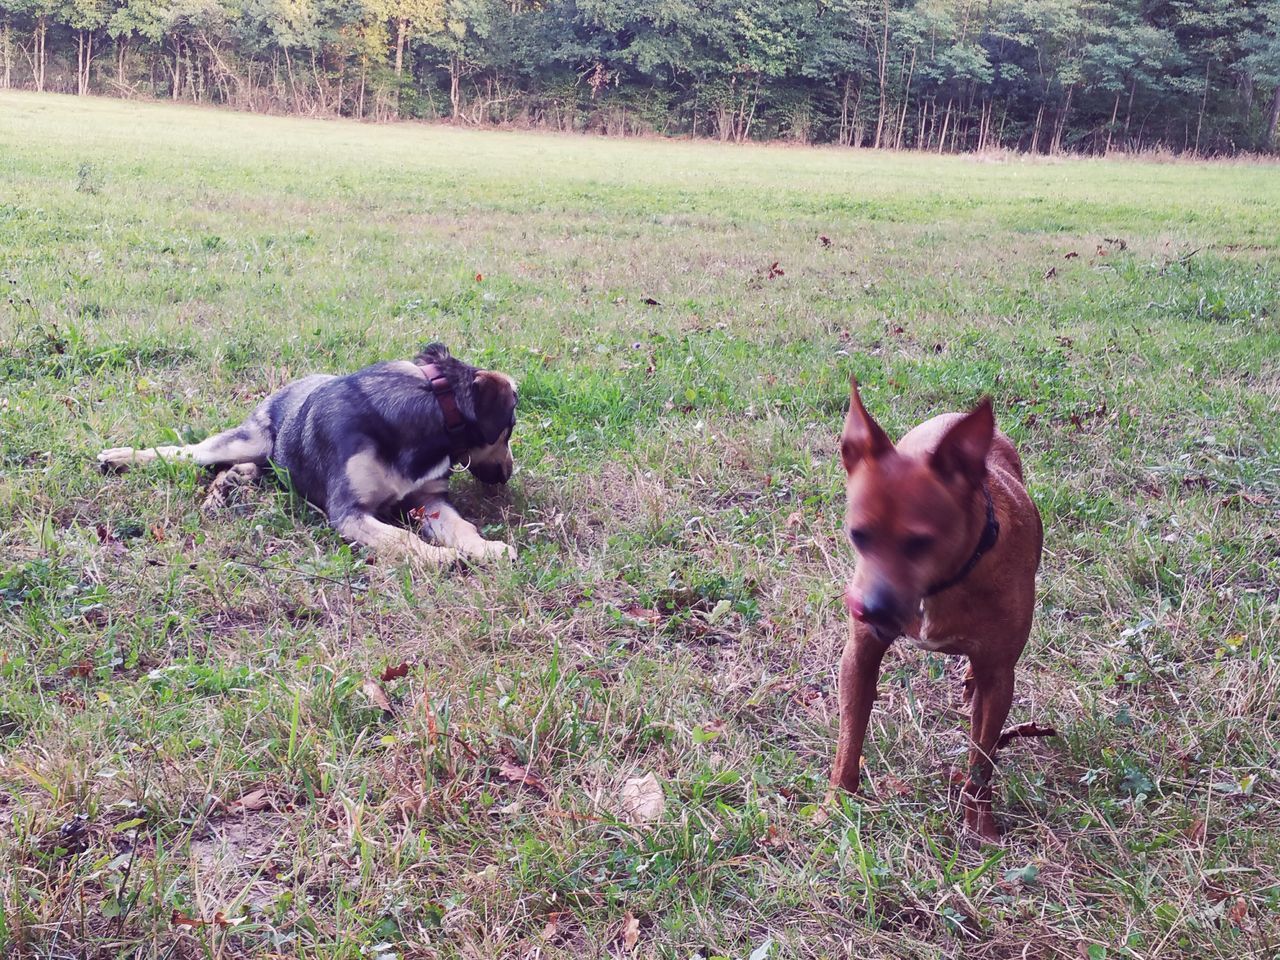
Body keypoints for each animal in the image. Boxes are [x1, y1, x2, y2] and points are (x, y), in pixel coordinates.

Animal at [96, 343, 514, 563]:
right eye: (508, 430)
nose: (508, 473)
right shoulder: (348, 512)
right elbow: (400, 539)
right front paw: (439, 557)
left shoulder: (429, 500)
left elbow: (462, 527)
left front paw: (487, 548)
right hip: (246, 439)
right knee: (186, 452)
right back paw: (117, 457)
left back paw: (234, 481)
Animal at [829, 378, 1049, 839]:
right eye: (858, 535)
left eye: (920, 543)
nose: (869, 610)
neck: (944, 583)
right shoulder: (859, 655)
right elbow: (849, 739)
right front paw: (835, 804)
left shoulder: (1000, 677)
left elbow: (981, 761)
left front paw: (979, 826)